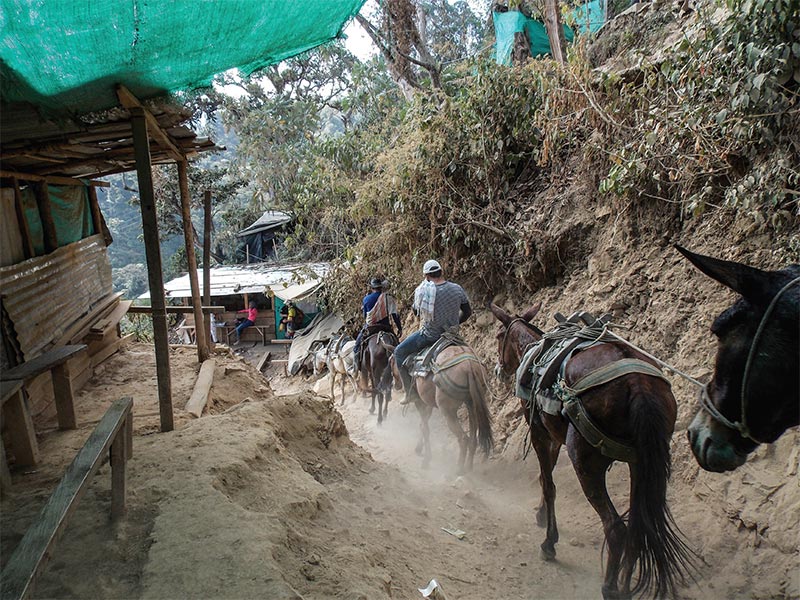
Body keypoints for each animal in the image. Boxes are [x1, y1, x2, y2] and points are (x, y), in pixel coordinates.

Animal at [382, 342, 494, 474]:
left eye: (391, 361)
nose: (395, 384)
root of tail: (469, 365)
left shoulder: (419, 401)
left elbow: (424, 427)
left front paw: (426, 459)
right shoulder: (429, 404)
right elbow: (423, 424)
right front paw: (419, 448)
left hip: (448, 411)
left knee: (463, 438)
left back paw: (459, 469)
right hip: (472, 404)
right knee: (473, 438)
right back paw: (468, 467)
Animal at [488, 302, 692, 600]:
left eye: (498, 336)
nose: (498, 371)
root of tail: (638, 383)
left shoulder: (539, 432)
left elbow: (548, 482)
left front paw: (549, 540)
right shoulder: (554, 437)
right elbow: (545, 475)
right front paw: (541, 514)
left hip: (584, 459)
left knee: (616, 528)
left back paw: (610, 587)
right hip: (642, 464)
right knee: (639, 526)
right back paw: (626, 587)